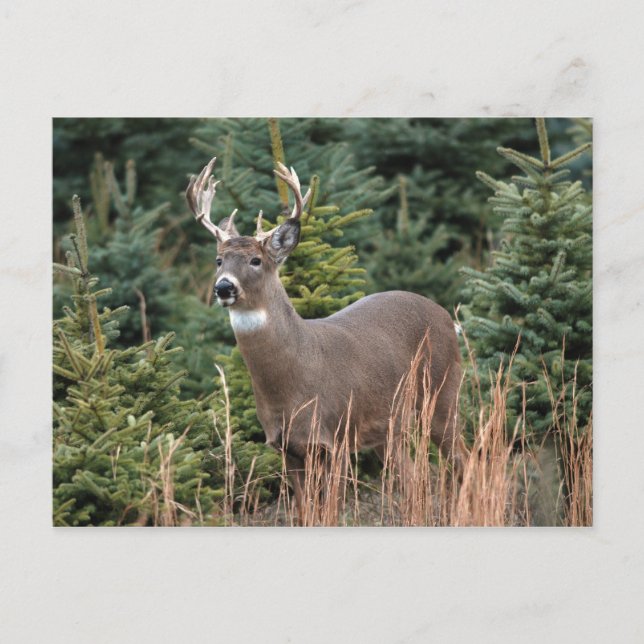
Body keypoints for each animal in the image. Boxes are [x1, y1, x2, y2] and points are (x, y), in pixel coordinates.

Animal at [186, 157, 468, 522]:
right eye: (219, 260)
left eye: (256, 260)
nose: (223, 287)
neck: (292, 384)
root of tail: (447, 317)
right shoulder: (285, 446)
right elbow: (305, 511)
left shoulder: (336, 435)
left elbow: (331, 512)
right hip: (389, 428)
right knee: (413, 477)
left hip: (444, 392)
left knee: (462, 459)